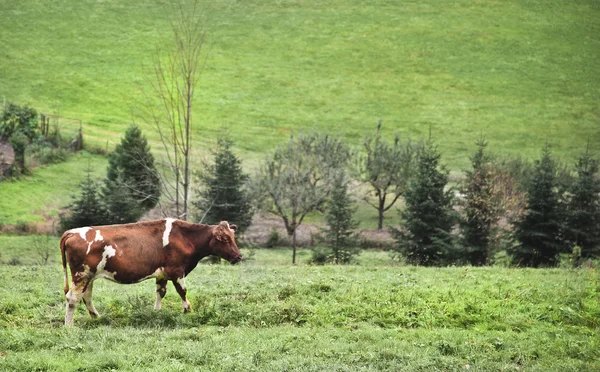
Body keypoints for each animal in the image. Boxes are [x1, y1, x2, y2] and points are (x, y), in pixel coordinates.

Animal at [59, 218, 241, 326]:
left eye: (233, 237)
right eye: (225, 239)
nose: (239, 256)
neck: (185, 237)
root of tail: (72, 232)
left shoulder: (162, 273)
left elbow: (161, 292)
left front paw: (157, 312)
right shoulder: (176, 271)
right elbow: (182, 291)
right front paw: (187, 310)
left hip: (89, 276)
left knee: (86, 296)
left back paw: (97, 317)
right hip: (81, 275)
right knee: (72, 298)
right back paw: (69, 325)